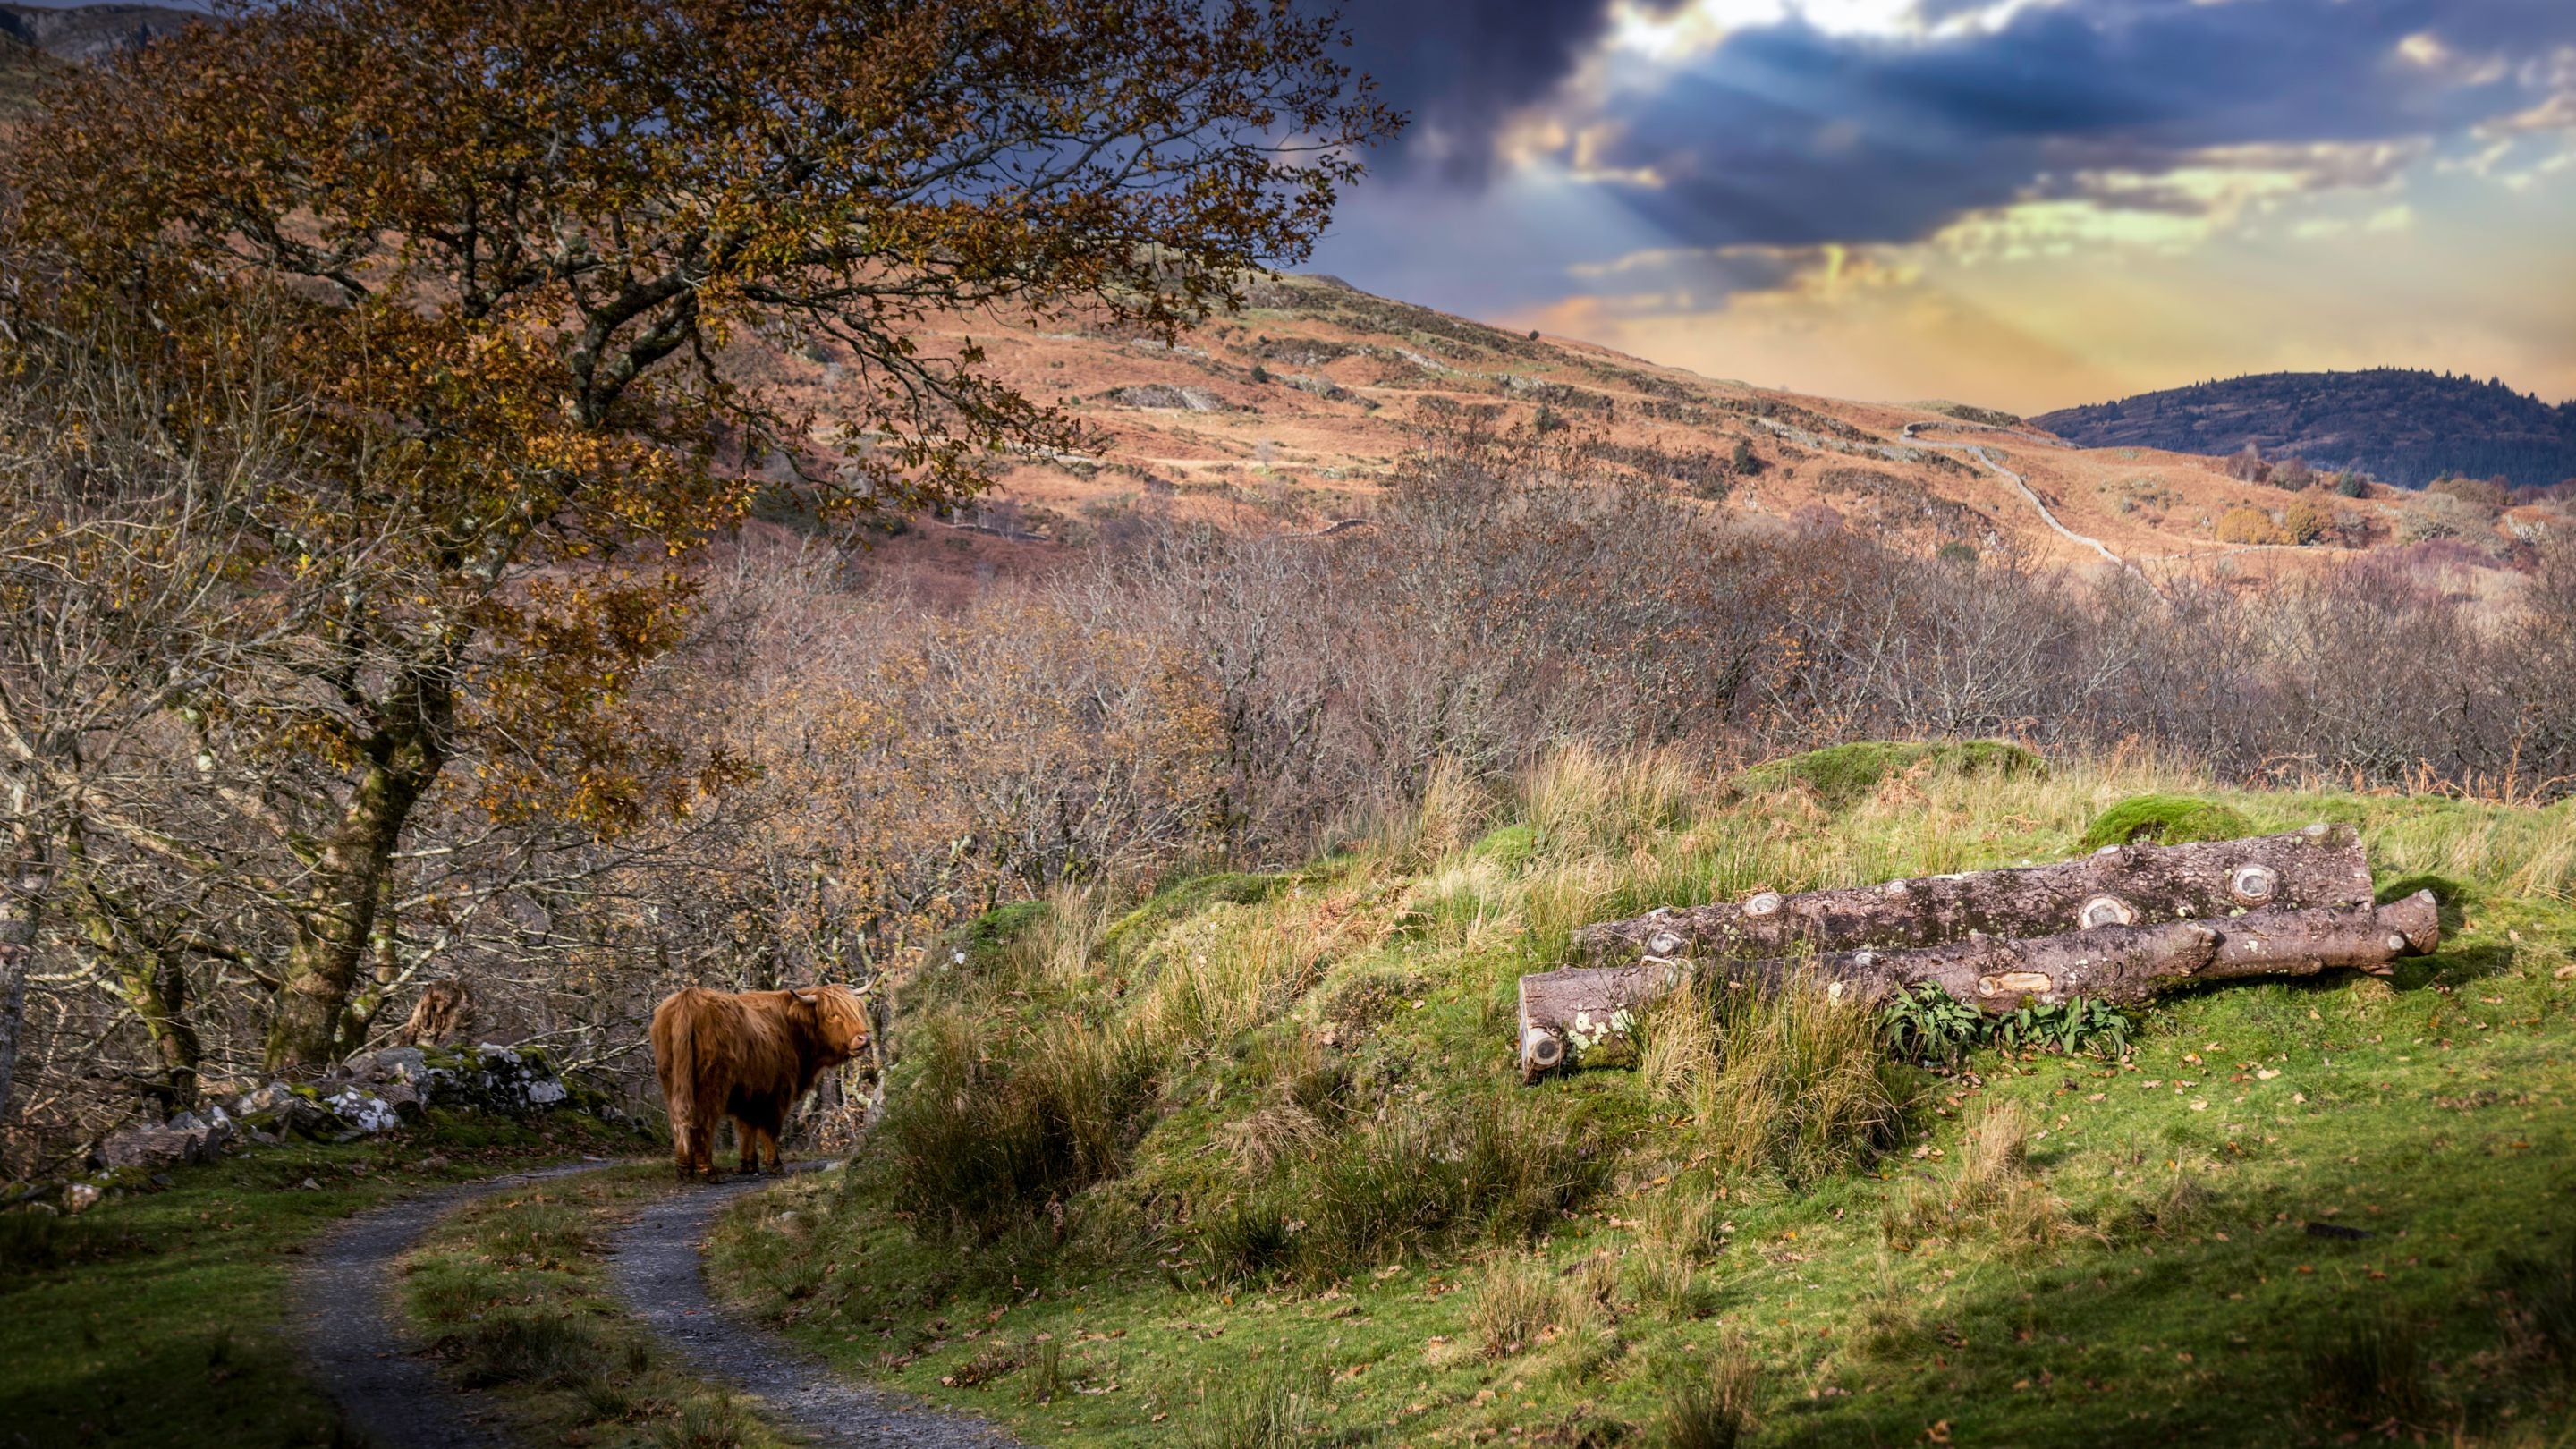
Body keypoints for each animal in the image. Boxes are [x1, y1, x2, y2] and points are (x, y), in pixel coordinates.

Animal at [649, 984, 873, 1180]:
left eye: (857, 1011)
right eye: (833, 1015)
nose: (864, 1039)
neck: (793, 1029)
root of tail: (689, 998)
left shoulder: (748, 1095)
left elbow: (746, 1129)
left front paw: (748, 1166)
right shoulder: (777, 1093)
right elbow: (770, 1129)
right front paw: (775, 1165)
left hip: (672, 1082)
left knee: (678, 1120)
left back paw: (684, 1169)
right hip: (711, 1086)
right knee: (703, 1122)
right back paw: (708, 1171)